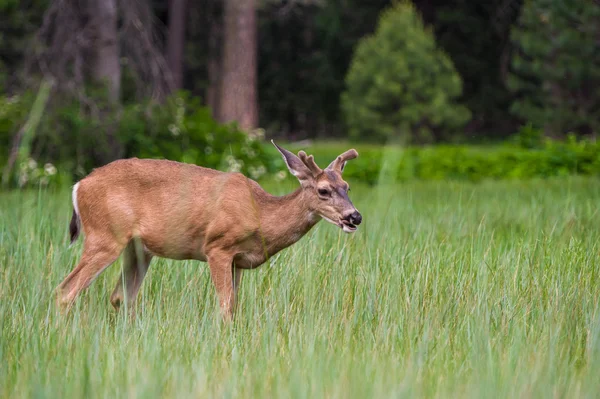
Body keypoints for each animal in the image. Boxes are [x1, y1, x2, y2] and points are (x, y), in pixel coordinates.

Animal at [57, 142, 360, 320]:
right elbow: (225, 305)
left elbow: (235, 304)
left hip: (137, 248)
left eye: (347, 187)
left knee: (120, 297)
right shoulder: (218, 246)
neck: (261, 214)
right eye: (323, 190)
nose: (354, 216)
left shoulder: (238, 261)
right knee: (65, 291)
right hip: (106, 235)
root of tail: (79, 185)